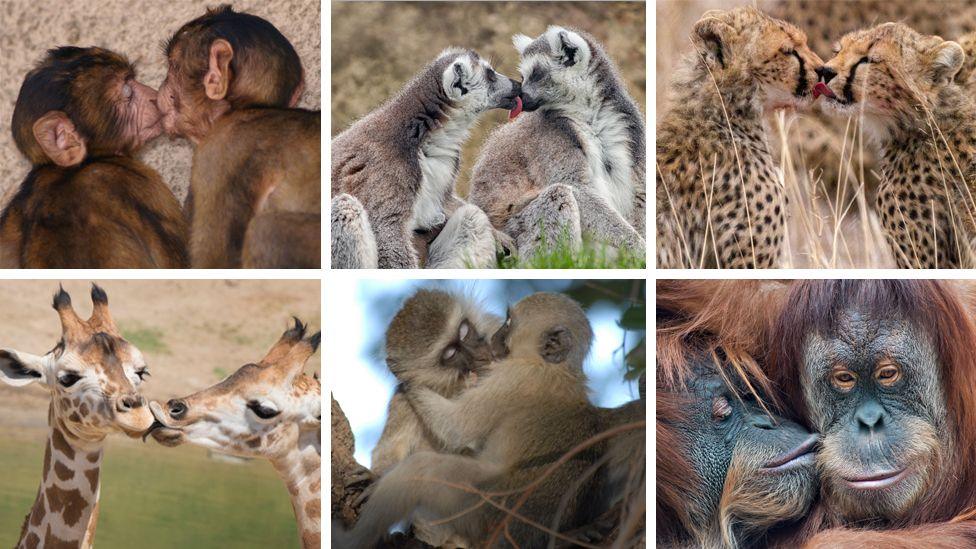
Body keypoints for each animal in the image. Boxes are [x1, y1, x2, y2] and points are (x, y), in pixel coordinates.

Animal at [157, 5, 320, 269]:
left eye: (172, 67)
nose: (161, 88)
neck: (244, 109)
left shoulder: (219, 148)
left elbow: (217, 261)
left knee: (266, 232)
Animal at [331, 48, 521, 269]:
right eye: (490, 75)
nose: (518, 85)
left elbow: (447, 203)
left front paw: (500, 236)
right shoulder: (387, 170)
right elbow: (387, 233)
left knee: (472, 216)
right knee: (345, 206)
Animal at [334, 292, 604, 548]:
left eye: (464, 332)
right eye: (450, 353)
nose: (483, 350)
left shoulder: (512, 376)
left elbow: (457, 427)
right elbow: (392, 445)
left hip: (485, 505)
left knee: (423, 468)